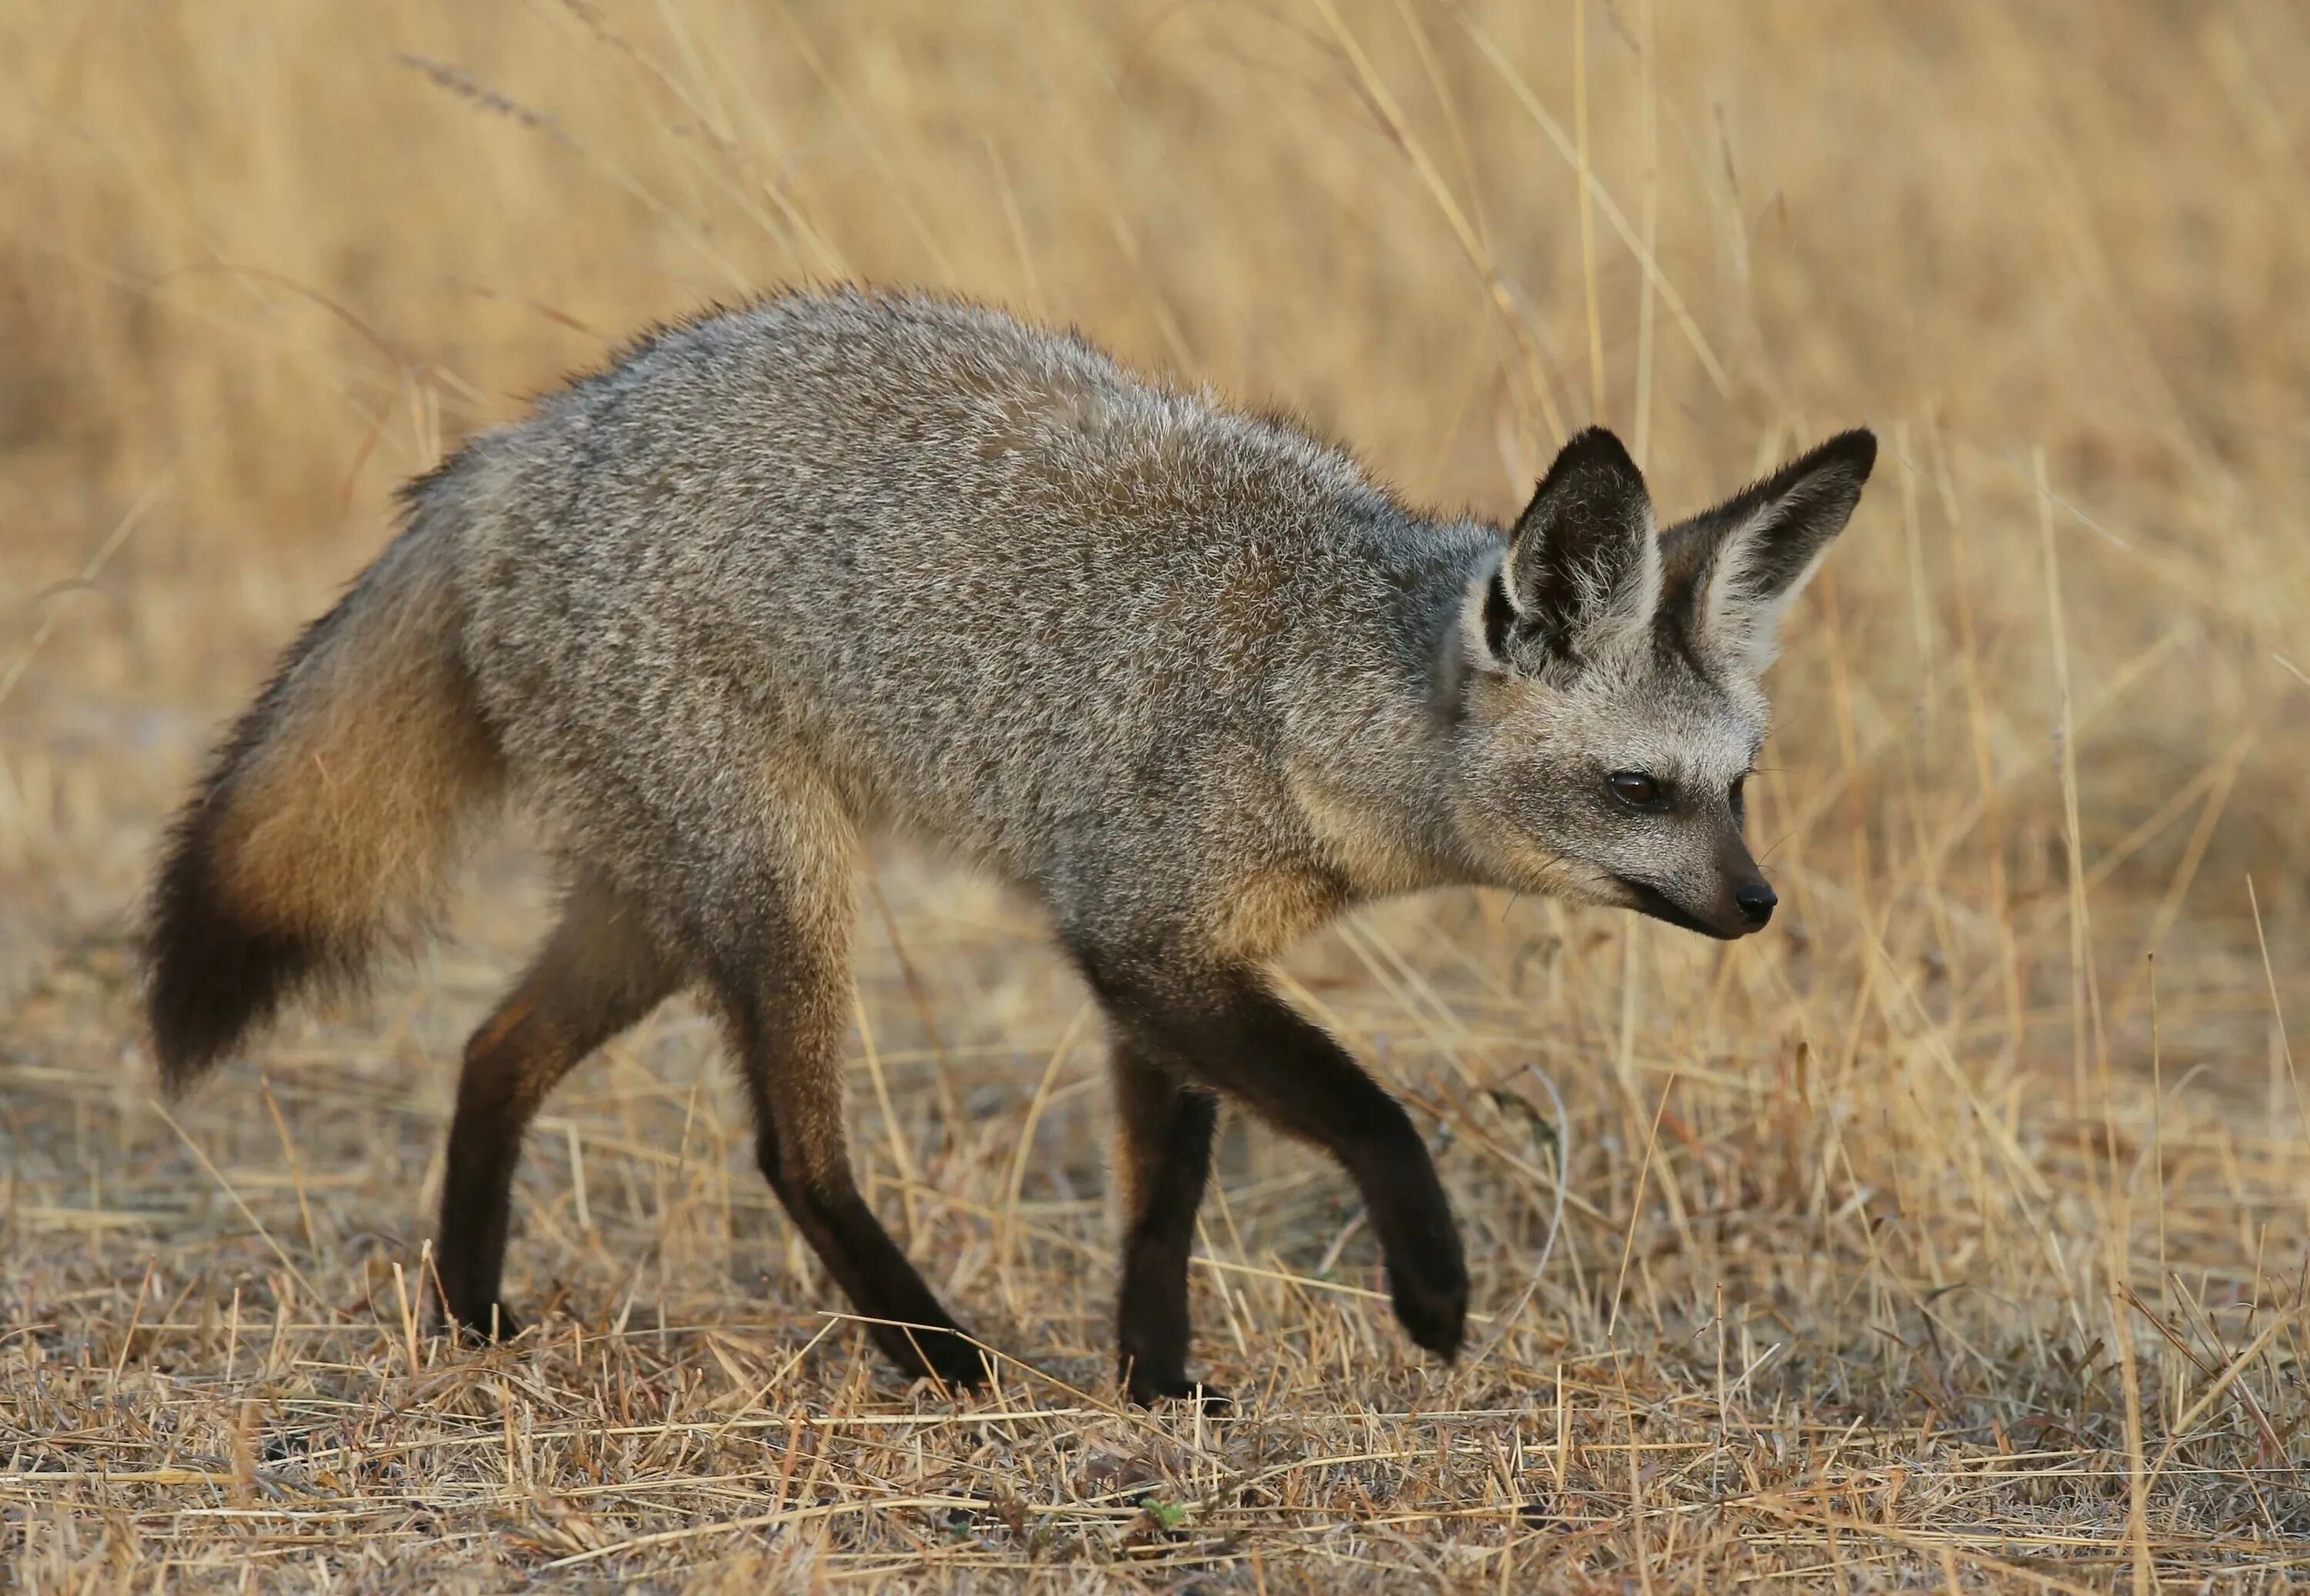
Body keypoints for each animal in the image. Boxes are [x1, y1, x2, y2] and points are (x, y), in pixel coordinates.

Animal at [149, 289, 1876, 1414]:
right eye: (1641, 790)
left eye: (1737, 787)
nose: (1758, 905)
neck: (1308, 678)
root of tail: (528, 437)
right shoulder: (1140, 935)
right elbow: (1373, 1116)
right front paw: (1432, 1290)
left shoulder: (1178, 960)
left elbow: (1164, 1201)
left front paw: (1155, 1380)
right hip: (776, 894)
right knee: (790, 1150)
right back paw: (933, 1353)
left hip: (660, 901)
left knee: (490, 1051)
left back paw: (469, 1314)